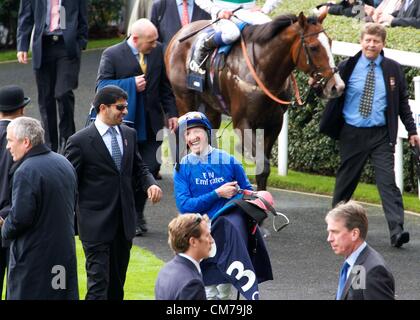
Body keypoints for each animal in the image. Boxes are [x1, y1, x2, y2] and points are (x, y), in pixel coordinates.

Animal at [164, 11, 344, 190]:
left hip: (211, 106)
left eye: (330, 43)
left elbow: (263, 169)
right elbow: (262, 165)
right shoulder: (243, 123)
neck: (263, 71)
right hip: (184, 98)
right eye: (314, 47)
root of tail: (178, 35)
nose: (337, 86)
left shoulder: (274, 124)